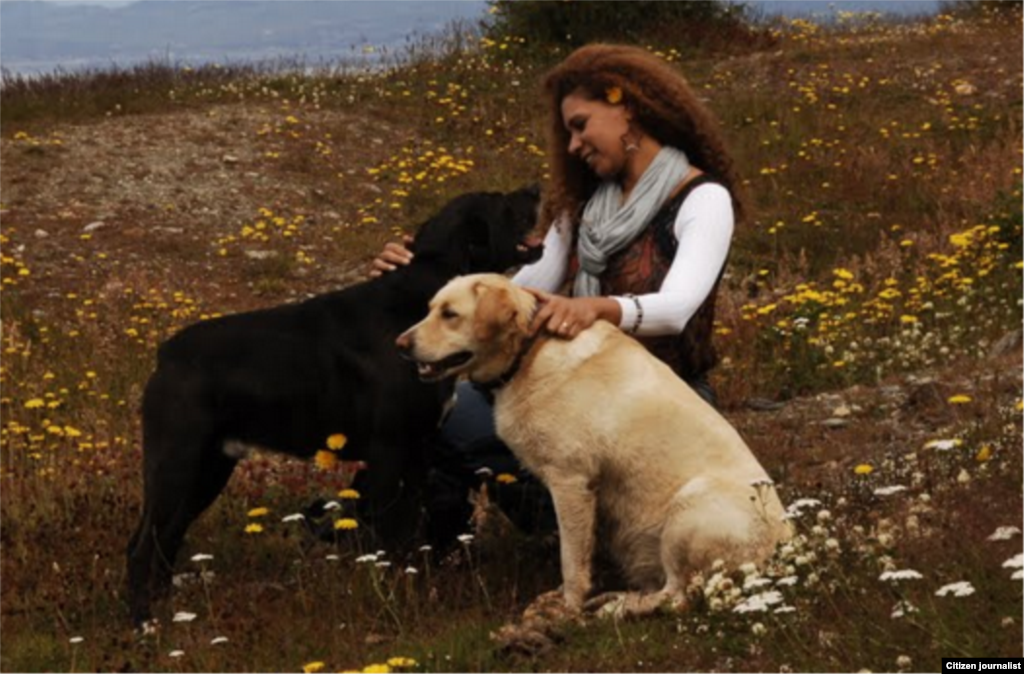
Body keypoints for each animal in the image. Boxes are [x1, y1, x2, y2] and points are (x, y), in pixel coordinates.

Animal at [123, 185, 540, 622]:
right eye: (502, 203)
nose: (534, 189)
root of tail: (166, 354)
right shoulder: (389, 454)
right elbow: (388, 539)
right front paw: (391, 598)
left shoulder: (416, 455)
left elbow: (408, 533)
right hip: (177, 464)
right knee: (141, 546)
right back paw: (144, 621)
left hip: (208, 468)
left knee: (166, 537)